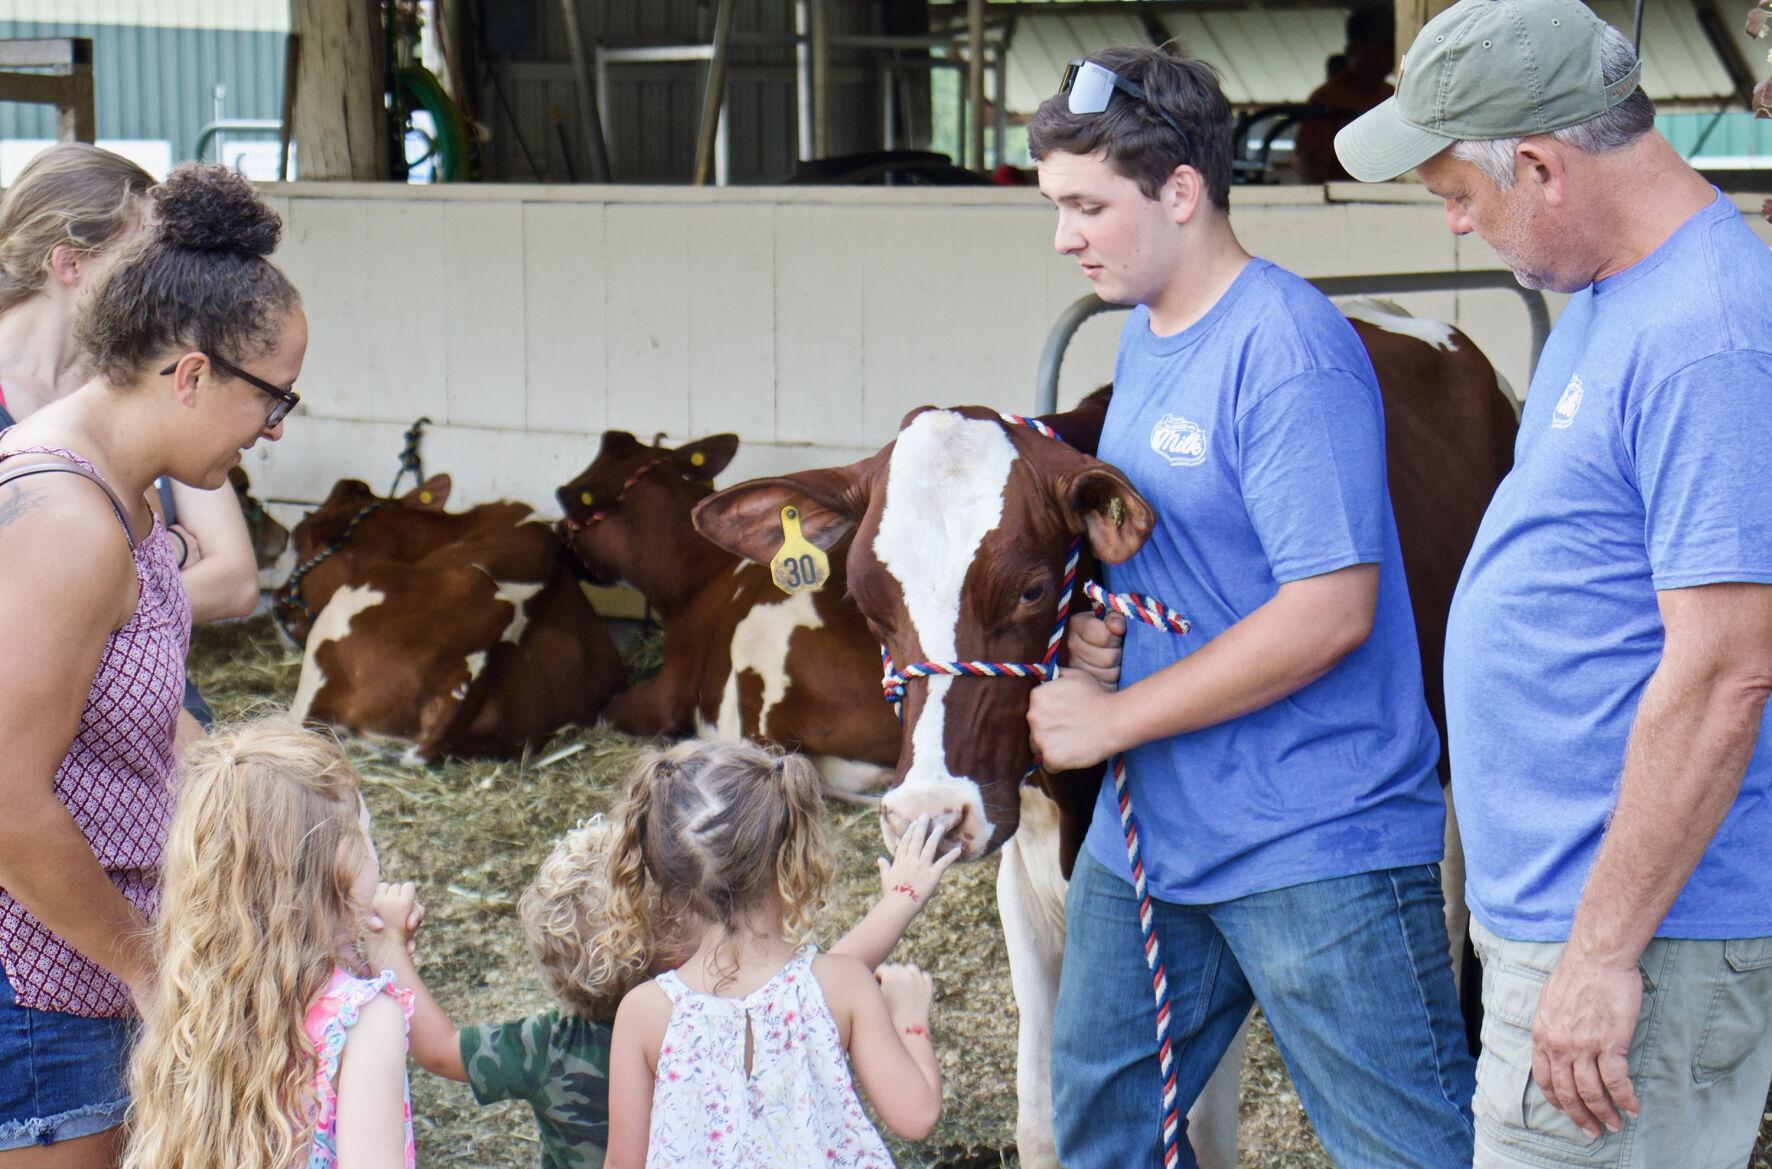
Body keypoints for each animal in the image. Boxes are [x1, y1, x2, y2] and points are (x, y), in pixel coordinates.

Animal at [691, 302, 1523, 1169]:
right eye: (864, 599)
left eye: (1031, 587)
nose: (929, 812)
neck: (1076, 802)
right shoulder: (1025, 880)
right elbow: (1043, 1118)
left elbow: (1199, 1131)